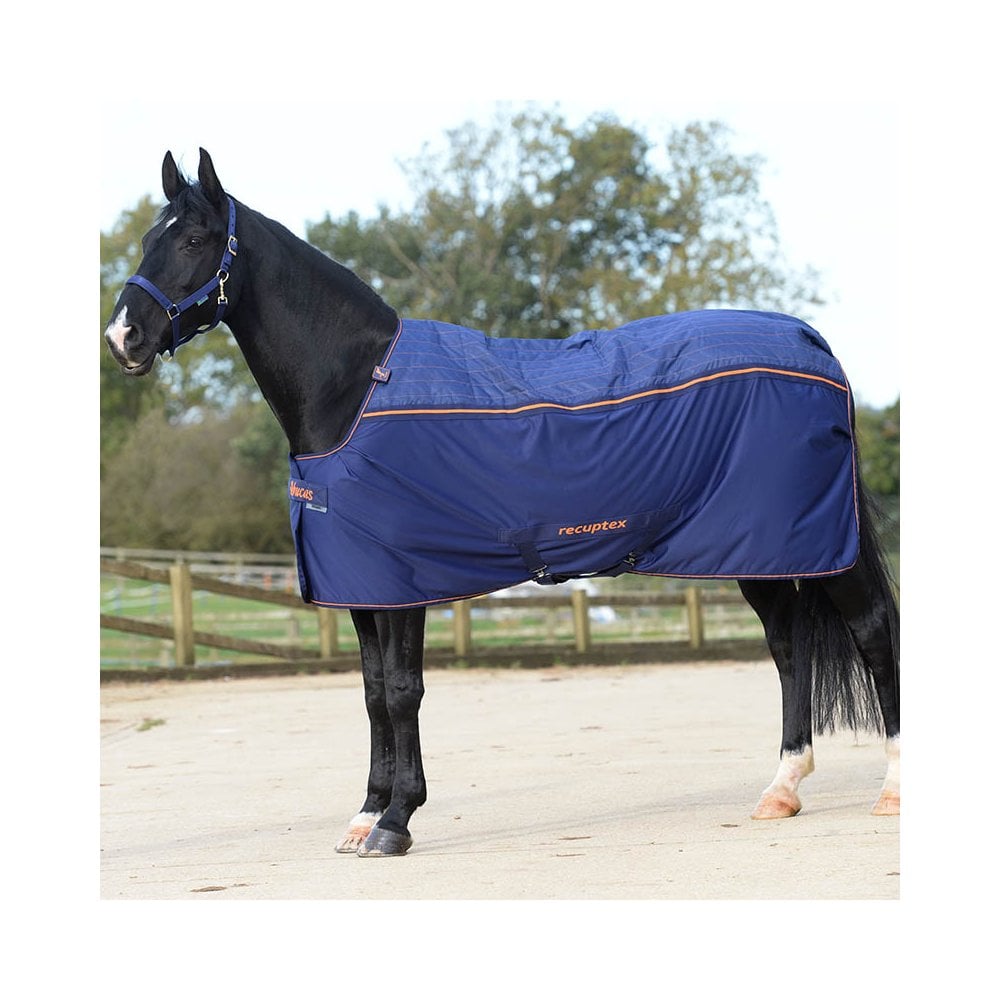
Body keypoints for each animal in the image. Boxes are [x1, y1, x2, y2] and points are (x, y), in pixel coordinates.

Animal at [104, 148, 900, 857]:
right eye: (146, 239)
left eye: (195, 240)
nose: (123, 337)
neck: (357, 389)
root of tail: (811, 341)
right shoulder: (361, 584)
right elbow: (370, 693)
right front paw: (364, 817)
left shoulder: (403, 583)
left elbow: (402, 692)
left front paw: (396, 822)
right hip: (759, 548)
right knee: (789, 648)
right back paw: (781, 789)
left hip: (822, 547)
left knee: (872, 629)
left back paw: (891, 788)